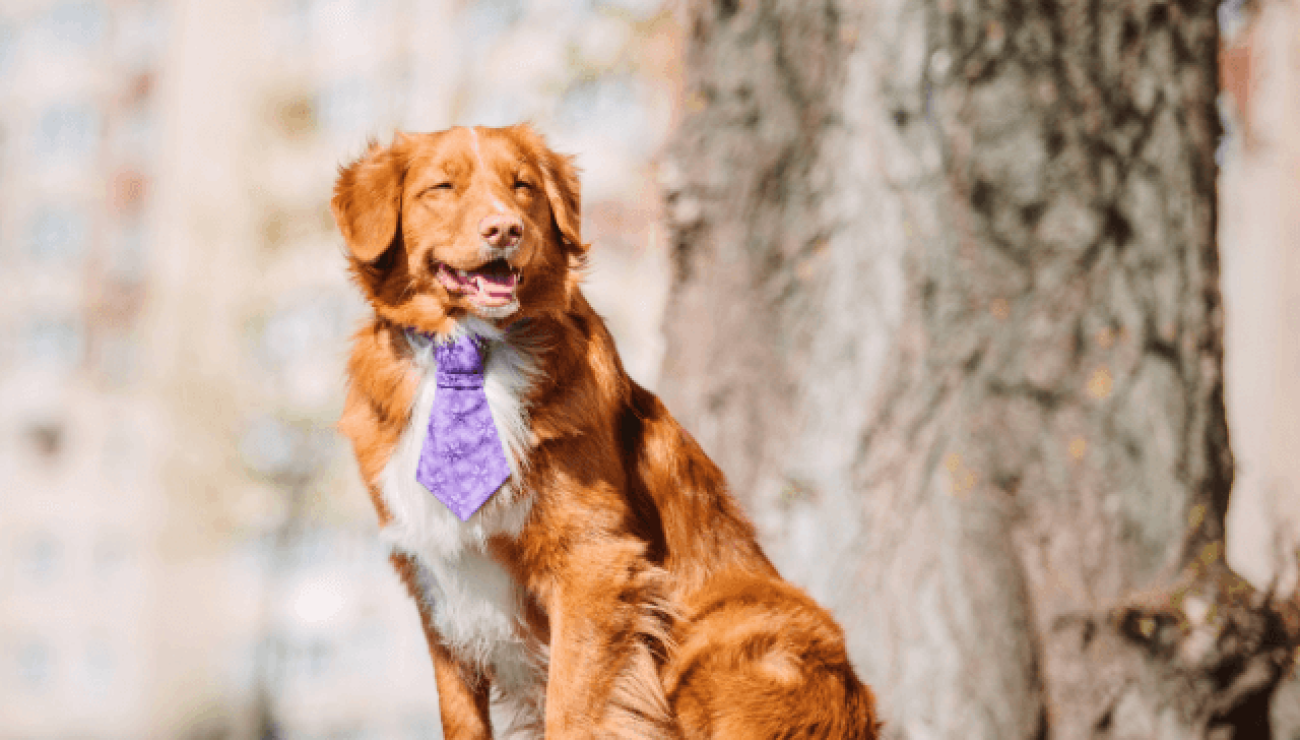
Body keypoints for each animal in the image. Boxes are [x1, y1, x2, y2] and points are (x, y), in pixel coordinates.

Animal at [330, 124, 878, 733]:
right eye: (442, 187)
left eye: (522, 186)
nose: (505, 229)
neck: (470, 350)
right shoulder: (437, 582)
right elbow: (462, 718)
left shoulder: (592, 561)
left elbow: (575, 710)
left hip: (730, 637)